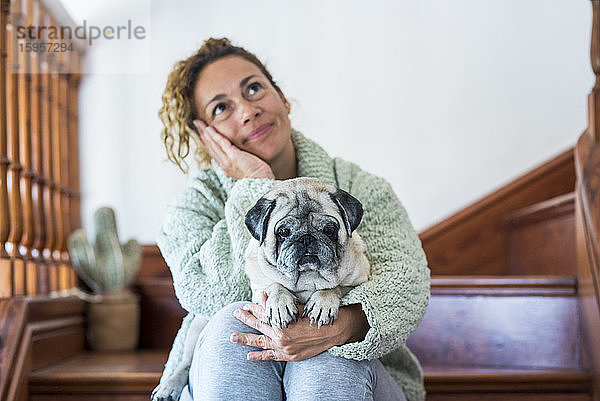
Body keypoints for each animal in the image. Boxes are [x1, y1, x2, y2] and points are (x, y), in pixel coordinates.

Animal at [244, 178, 370, 328]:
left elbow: (335, 286)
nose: (306, 238)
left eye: (329, 230)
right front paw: (279, 302)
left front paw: (323, 301)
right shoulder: (259, 289)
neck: (308, 277)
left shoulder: (357, 283)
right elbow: (274, 285)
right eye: (283, 232)